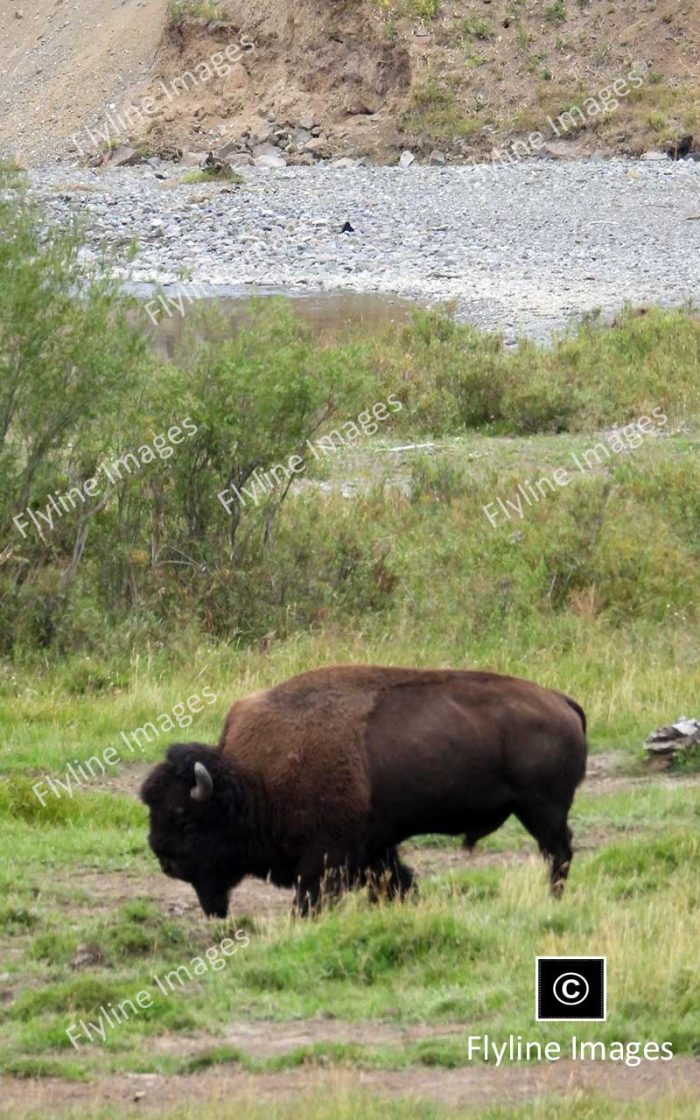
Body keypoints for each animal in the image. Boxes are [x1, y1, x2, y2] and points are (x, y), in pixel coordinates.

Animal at [140, 663, 582, 918]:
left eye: (186, 821)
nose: (164, 859)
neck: (251, 782)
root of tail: (561, 701)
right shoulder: (374, 848)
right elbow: (398, 882)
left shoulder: (325, 858)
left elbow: (311, 899)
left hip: (541, 810)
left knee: (557, 853)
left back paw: (553, 901)